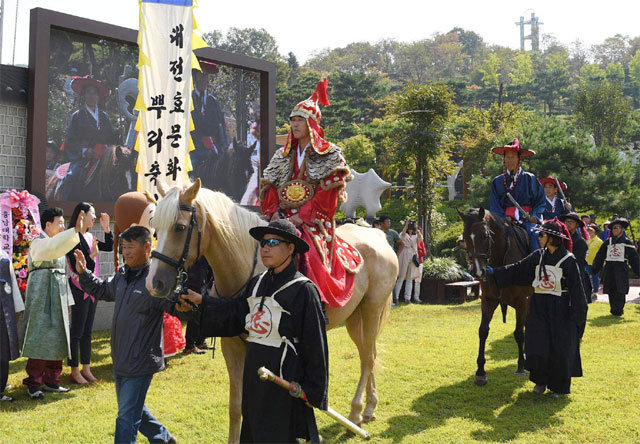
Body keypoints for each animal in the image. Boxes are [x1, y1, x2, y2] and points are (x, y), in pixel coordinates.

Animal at [146, 179, 396, 442]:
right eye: (155, 230)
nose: (154, 284)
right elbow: (236, 406)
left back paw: (357, 413)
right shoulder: (231, 346)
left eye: (180, 227)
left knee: (367, 358)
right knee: (369, 353)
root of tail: (377, 236)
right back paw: (370, 407)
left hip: (372, 307)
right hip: (354, 317)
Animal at [458, 207, 532, 386]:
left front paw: (520, 367)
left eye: (485, 235)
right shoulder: (488, 300)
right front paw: (480, 371)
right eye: (465, 237)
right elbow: (483, 331)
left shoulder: (523, 301)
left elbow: (519, 333)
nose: (478, 271)